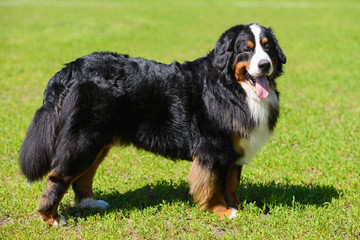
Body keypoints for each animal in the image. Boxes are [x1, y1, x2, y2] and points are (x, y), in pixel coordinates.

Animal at [19, 23, 286, 226]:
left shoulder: (235, 148)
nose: (264, 65)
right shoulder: (213, 149)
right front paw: (221, 210)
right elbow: (213, 185)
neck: (232, 88)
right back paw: (51, 217)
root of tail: (72, 68)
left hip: (98, 139)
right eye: (246, 50)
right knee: (59, 175)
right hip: (83, 138)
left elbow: (232, 183)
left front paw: (238, 205)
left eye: (267, 47)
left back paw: (89, 202)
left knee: (84, 175)